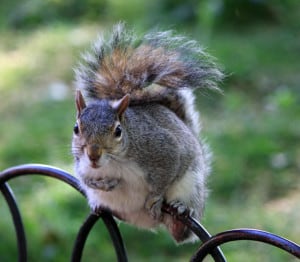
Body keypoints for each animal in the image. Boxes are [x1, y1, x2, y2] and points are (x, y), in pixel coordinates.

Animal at [72, 23, 223, 244]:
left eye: (118, 131)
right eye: (76, 128)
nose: (93, 154)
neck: (115, 162)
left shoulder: (163, 150)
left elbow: (167, 172)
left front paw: (154, 197)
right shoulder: (81, 164)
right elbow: (84, 178)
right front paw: (101, 183)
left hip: (191, 186)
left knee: (181, 234)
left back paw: (179, 214)